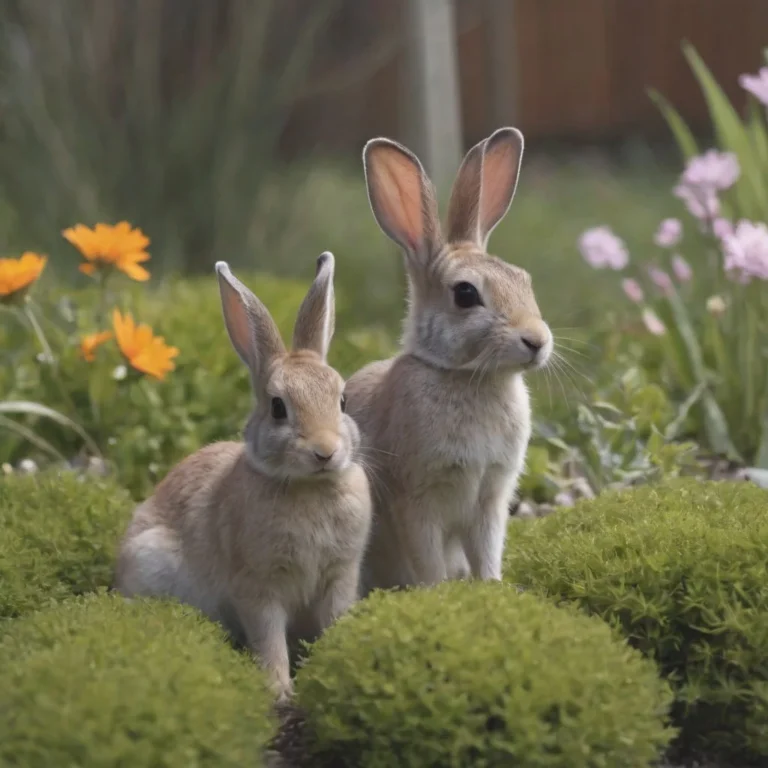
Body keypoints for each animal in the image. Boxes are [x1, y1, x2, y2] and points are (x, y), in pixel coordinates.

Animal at [115, 254, 376, 704]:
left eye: (342, 400)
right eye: (278, 408)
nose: (325, 451)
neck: (307, 487)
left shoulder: (340, 576)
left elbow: (333, 621)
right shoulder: (258, 588)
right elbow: (269, 640)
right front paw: (280, 690)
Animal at [348, 126, 552, 592]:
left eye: (524, 280)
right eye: (465, 294)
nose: (537, 341)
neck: (462, 375)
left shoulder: (490, 498)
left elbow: (487, 551)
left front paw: (493, 587)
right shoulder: (417, 500)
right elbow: (428, 562)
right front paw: (438, 594)